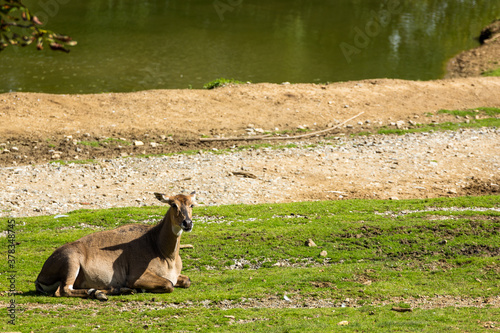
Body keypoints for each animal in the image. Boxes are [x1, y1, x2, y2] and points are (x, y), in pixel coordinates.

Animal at [34, 191, 195, 300]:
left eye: (191, 204)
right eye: (173, 204)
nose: (187, 223)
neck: (161, 249)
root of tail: (40, 276)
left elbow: (187, 281)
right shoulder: (135, 277)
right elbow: (169, 284)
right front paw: (140, 289)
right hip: (71, 262)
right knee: (63, 290)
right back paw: (99, 293)